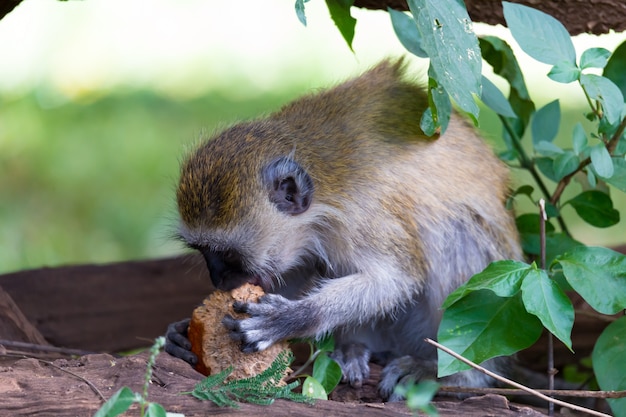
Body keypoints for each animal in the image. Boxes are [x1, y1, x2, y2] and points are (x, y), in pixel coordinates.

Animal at [163, 60, 520, 398]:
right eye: (202, 251)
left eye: (226, 254)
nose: (217, 279)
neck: (322, 194)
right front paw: (179, 334)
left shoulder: (366, 216)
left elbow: (396, 279)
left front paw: (294, 317)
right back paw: (354, 348)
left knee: (458, 232)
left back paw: (457, 375)